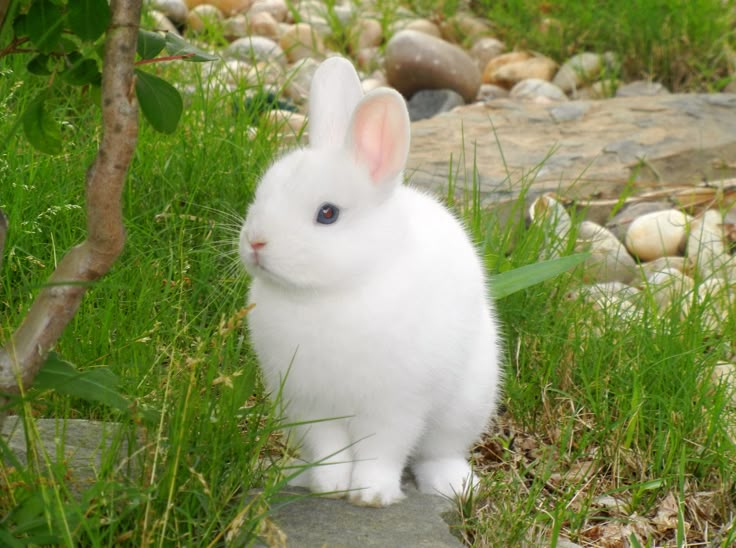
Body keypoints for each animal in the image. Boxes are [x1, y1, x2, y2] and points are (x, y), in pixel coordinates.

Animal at [240, 57, 500, 508]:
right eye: (262, 193)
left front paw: (371, 495)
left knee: (439, 451)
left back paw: (452, 485)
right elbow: (328, 450)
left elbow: (382, 451)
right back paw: (297, 475)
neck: (328, 293)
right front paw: (329, 487)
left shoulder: (395, 407)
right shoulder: (309, 406)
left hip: (466, 404)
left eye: (327, 214)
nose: (256, 241)